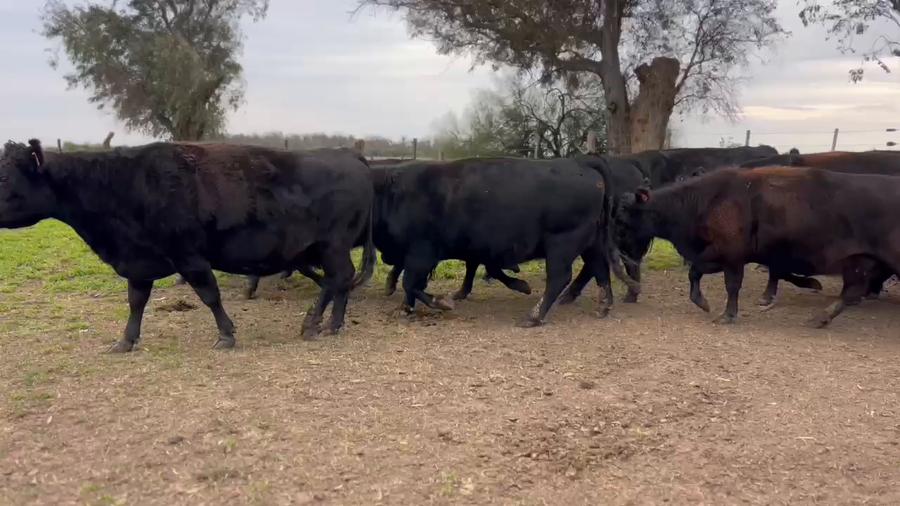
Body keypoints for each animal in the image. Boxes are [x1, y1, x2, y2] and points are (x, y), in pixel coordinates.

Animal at [0, 140, 376, 351]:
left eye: (5, 176)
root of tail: (349, 154)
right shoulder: (140, 261)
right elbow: (136, 301)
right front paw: (125, 341)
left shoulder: (189, 256)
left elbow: (209, 295)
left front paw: (226, 335)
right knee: (340, 281)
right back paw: (332, 324)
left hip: (332, 245)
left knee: (338, 278)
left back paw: (313, 322)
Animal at [371, 156, 639, 326]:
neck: (396, 193)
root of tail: (581, 162)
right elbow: (411, 283)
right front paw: (406, 308)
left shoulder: (421, 253)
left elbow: (410, 283)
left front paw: (442, 301)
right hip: (591, 243)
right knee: (599, 269)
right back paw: (603, 307)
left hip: (561, 245)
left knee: (560, 277)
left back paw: (533, 317)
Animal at [613, 165, 900, 328]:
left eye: (624, 214)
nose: (616, 245)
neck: (707, 199)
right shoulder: (718, 256)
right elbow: (695, 272)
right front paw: (704, 303)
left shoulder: (729, 255)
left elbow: (731, 284)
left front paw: (726, 315)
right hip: (862, 262)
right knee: (851, 292)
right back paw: (820, 318)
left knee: (852, 291)